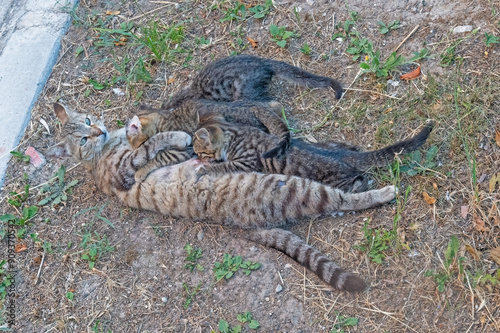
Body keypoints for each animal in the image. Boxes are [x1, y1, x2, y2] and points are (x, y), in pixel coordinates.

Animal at [47, 102, 398, 292]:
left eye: (88, 121)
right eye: (83, 138)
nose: (99, 131)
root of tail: (244, 225)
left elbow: (151, 145)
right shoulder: (124, 171)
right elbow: (151, 149)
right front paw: (171, 141)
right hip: (294, 185)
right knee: (340, 199)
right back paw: (380, 191)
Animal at [191, 115, 434, 191]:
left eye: (200, 152)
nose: (195, 157)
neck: (234, 134)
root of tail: (345, 156)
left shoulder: (246, 162)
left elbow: (224, 165)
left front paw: (206, 168)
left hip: (339, 181)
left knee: (359, 180)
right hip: (339, 146)